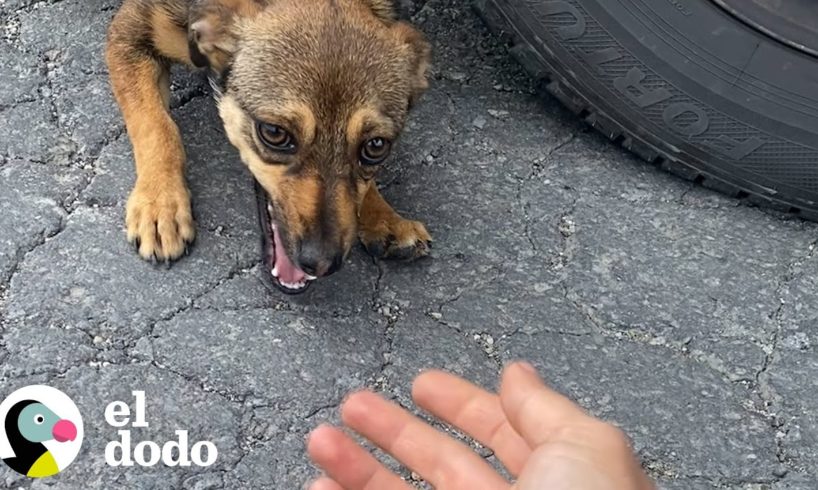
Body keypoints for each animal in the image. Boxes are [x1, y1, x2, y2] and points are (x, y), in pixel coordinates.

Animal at [108, 0, 434, 290]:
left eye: (376, 146)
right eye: (275, 133)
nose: (322, 263)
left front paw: (385, 217)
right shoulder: (129, 32)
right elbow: (157, 126)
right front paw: (159, 203)